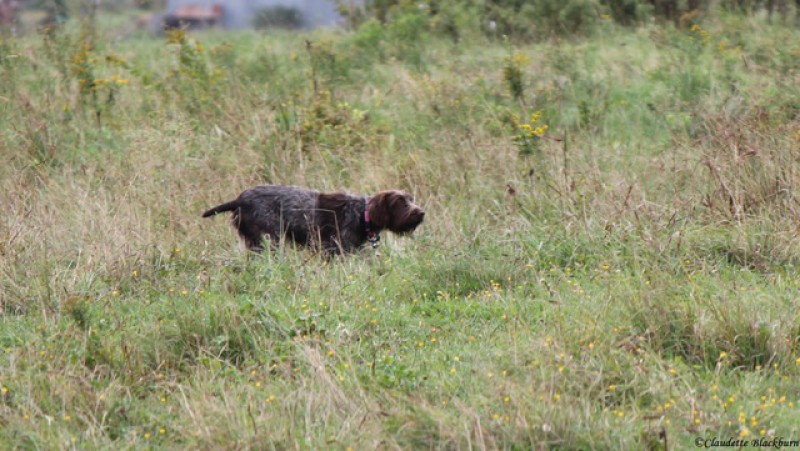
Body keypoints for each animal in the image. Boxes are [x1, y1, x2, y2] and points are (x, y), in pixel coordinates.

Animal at [202, 185, 424, 254]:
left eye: (411, 199)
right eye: (400, 202)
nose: (421, 213)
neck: (363, 214)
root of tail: (240, 200)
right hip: (268, 240)